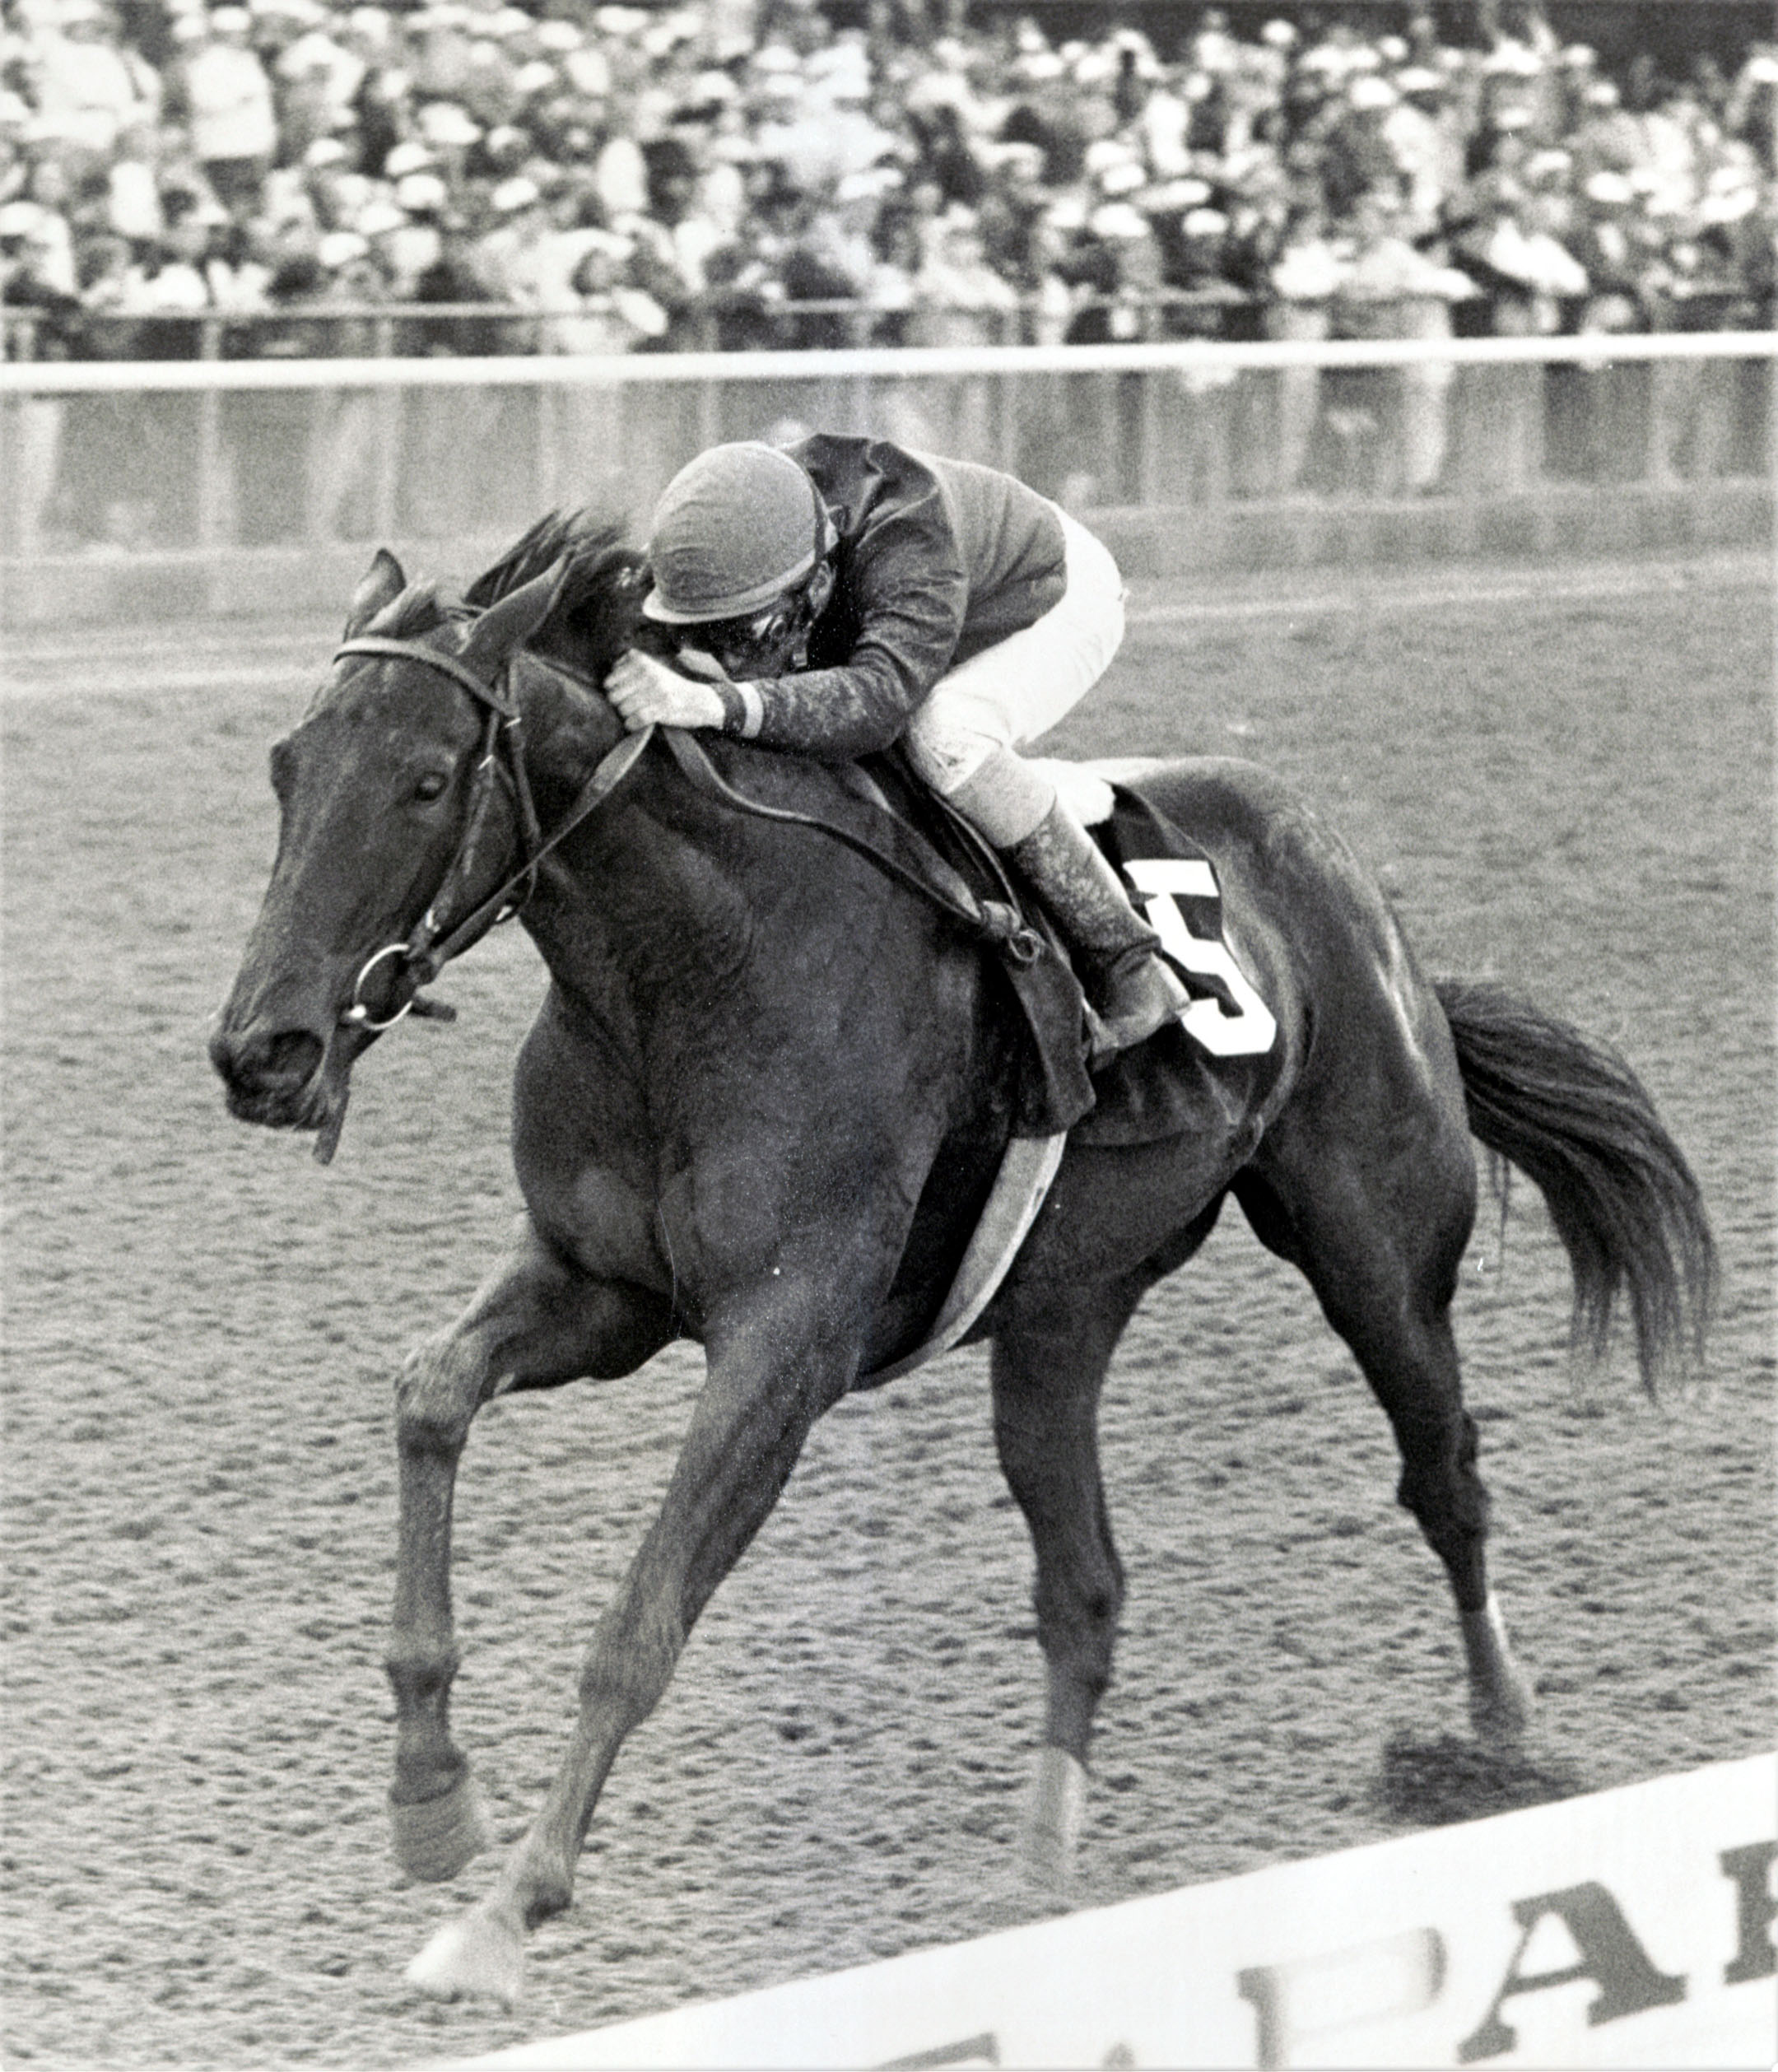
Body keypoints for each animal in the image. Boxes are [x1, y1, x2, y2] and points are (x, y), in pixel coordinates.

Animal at [208, 522, 1707, 2005]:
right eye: (286, 764)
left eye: (424, 779)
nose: (262, 1052)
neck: (692, 971)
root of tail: (1355, 885)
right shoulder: (601, 1287)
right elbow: (428, 1394)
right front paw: (428, 1791)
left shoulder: (788, 1345)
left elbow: (640, 1622)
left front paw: (506, 1910)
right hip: (1063, 1314)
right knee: (1086, 1588)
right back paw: (1040, 1878)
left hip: (1377, 1249)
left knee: (1444, 1476)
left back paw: (1502, 1737)